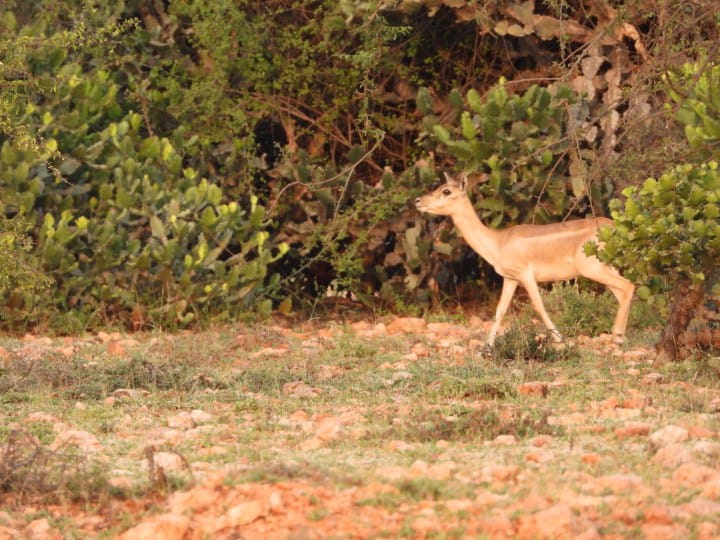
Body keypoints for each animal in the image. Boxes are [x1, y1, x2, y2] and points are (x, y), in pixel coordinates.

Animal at [414, 175, 632, 348]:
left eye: (446, 190)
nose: (418, 200)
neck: (498, 243)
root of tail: (614, 227)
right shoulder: (510, 278)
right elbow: (500, 310)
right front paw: (488, 345)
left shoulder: (525, 274)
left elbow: (538, 305)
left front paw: (559, 339)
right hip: (606, 267)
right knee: (623, 292)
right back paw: (620, 336)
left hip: (592, 268)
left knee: (628, 286)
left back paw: (618, 337)